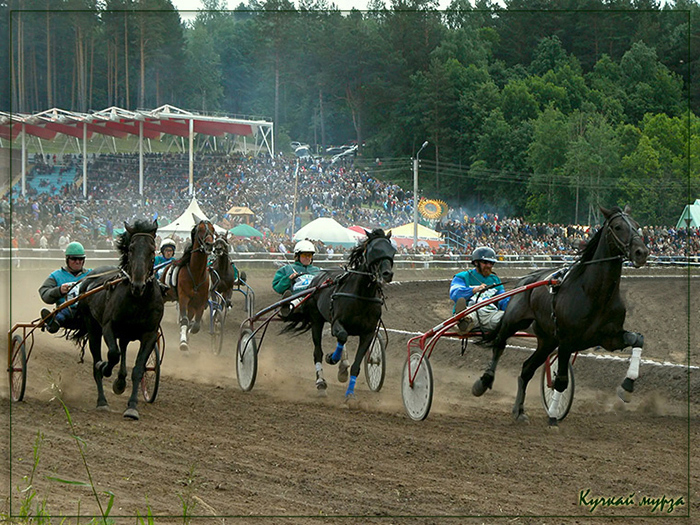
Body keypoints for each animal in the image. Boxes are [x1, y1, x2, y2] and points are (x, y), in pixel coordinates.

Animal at [69, 219, 163, 420]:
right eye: (131, 249)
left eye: (152, 249)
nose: (138, 285)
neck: (138, 300)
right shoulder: (108, 327)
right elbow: (112, 354)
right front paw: (105, 367)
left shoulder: (150, 334)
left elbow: (138, 369)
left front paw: (132, 407)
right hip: (93, 328)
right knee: (100, 360)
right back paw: (102, 400)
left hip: (126, 334)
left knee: (124, 349)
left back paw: (120, 381)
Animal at [161, 215, 216, 350]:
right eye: (200, 230)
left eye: (213, 230)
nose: (209, 244)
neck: (196, 274)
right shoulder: (183, 298)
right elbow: (184, 320)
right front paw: (183, 342)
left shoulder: (200, 302)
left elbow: (195, 325)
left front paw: (187, 336)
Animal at [284, 229, 394, 402]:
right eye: (375, 250)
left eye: (392, 250)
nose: (387, 274)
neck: (361, 295)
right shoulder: (337, 322)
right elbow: (341, 336)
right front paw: (332, 358)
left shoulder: (368, 333)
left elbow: (356, 366)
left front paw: (350, 394)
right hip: (316, 320)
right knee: (318, 352)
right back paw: (321, 383)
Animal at [476, 206, 652, 426]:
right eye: (618, 227)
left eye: (637, 225)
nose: (641, 252)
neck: (594, 293)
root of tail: (527, 280)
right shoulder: (567, 341)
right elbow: (561, 381)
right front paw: (553, 416)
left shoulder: (609, 338)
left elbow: (638, 339)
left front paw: (627, 387)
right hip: (514, 321)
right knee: (499, 344)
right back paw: (483, 382)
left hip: (547, 340)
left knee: (526, 369)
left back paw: (519, 410)